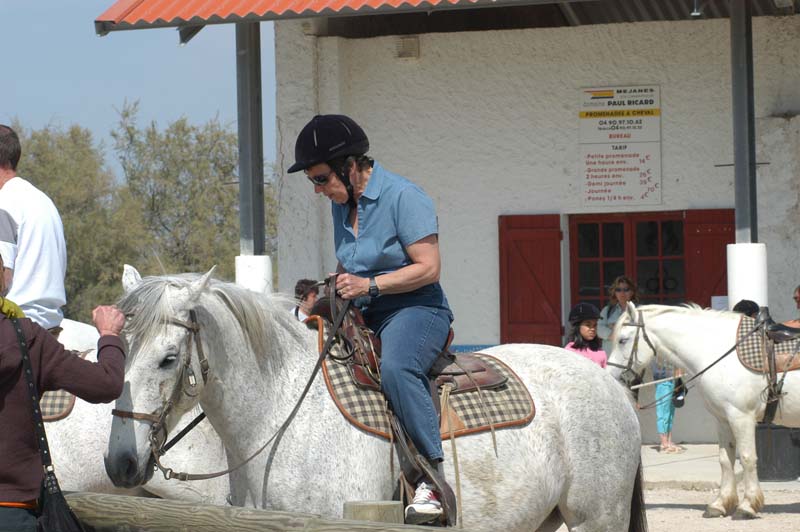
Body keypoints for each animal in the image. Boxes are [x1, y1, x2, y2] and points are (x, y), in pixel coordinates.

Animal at [104, 266, 647, 531]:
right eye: (115, 350)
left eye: (168, 358)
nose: (121, 463)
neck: (279, 415)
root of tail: (611, 387)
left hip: (597, 519)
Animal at [606, 302, 800, 520]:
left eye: (622, 340)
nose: (610, 375)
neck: (717, 350)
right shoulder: (723, 419)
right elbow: (725, 460)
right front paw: (720, 504)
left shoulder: (741, 416)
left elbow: (747, 458)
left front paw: (747, 506)